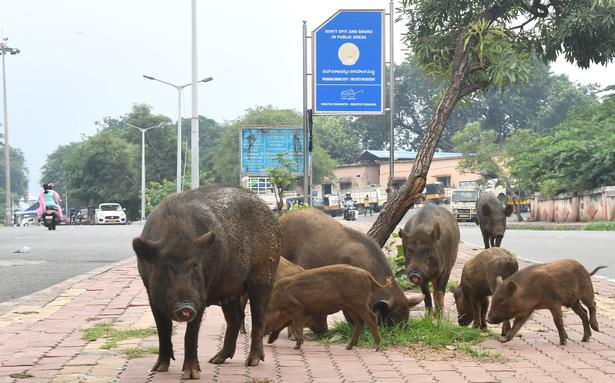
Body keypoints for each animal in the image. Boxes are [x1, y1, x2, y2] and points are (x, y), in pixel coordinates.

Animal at [135, 187, 282, 380]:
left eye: (195, 265)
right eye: (164, 266)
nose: (186, 307)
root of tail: (272, 217)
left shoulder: (201, 296)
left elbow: (191, 334)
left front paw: (191, 375)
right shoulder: (151, 295)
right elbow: (163, 330)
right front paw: (158, 369)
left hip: (264, 273)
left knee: (258, 317)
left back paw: (252, 361)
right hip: (229, 291)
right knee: (235, 319)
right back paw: (216, 359)